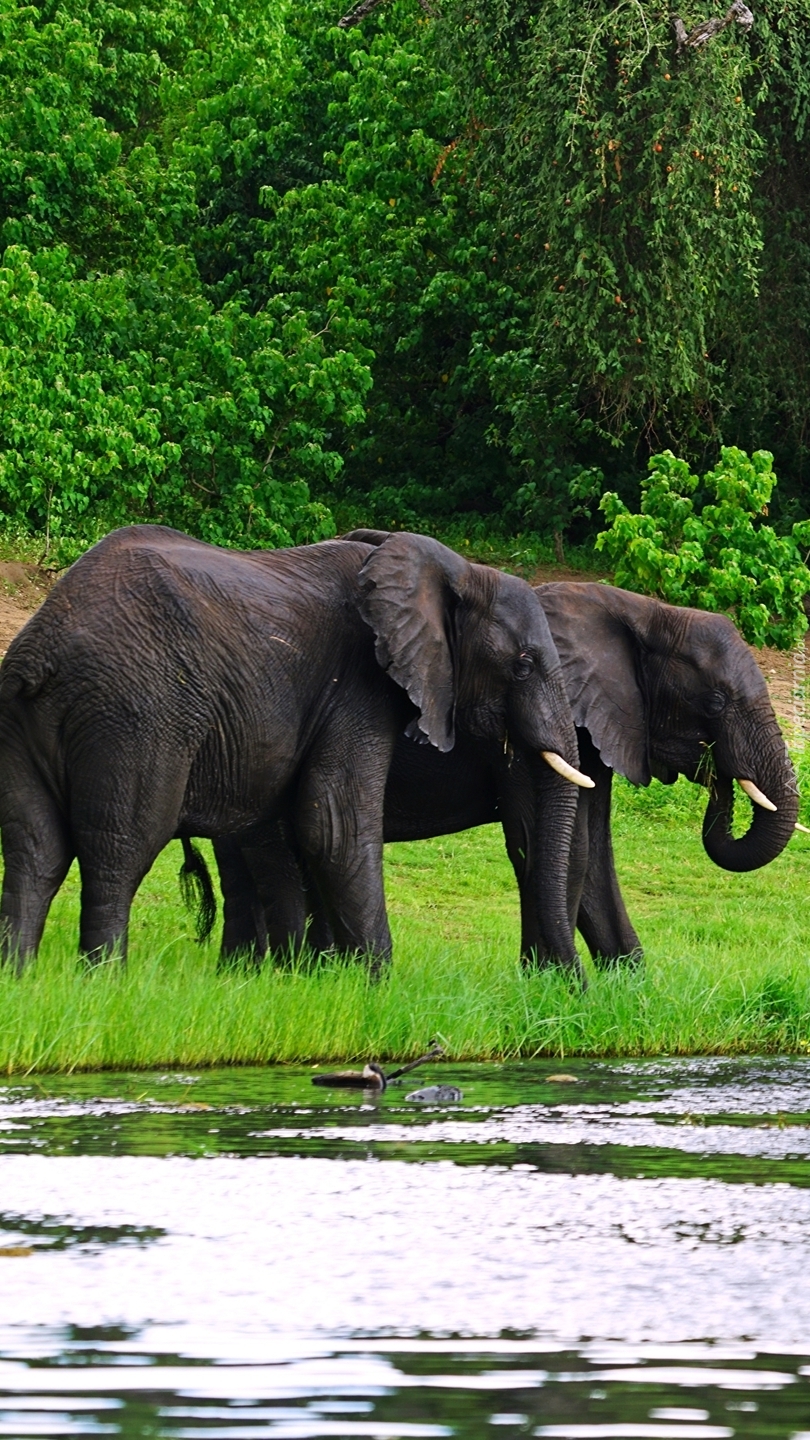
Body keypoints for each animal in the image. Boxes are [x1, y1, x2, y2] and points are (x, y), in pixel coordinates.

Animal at [0, 524, 590, 973]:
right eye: (523, 664)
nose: (573, 988)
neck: (455, 568)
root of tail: (43, 646)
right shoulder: (360, 685)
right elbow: (334, 825)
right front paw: (377, 987)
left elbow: (288, 832)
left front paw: (307, 979)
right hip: (137, 715)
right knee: (120, 847)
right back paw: (102, 981)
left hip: (28, 719)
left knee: (35, 847)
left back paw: (20, 979)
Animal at [204, 564, 795, 967]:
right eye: (715, 702)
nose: (720, 778)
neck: (642, 612)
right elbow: (557, 844)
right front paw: (557, 984)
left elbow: (591, 853)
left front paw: (627, 991)